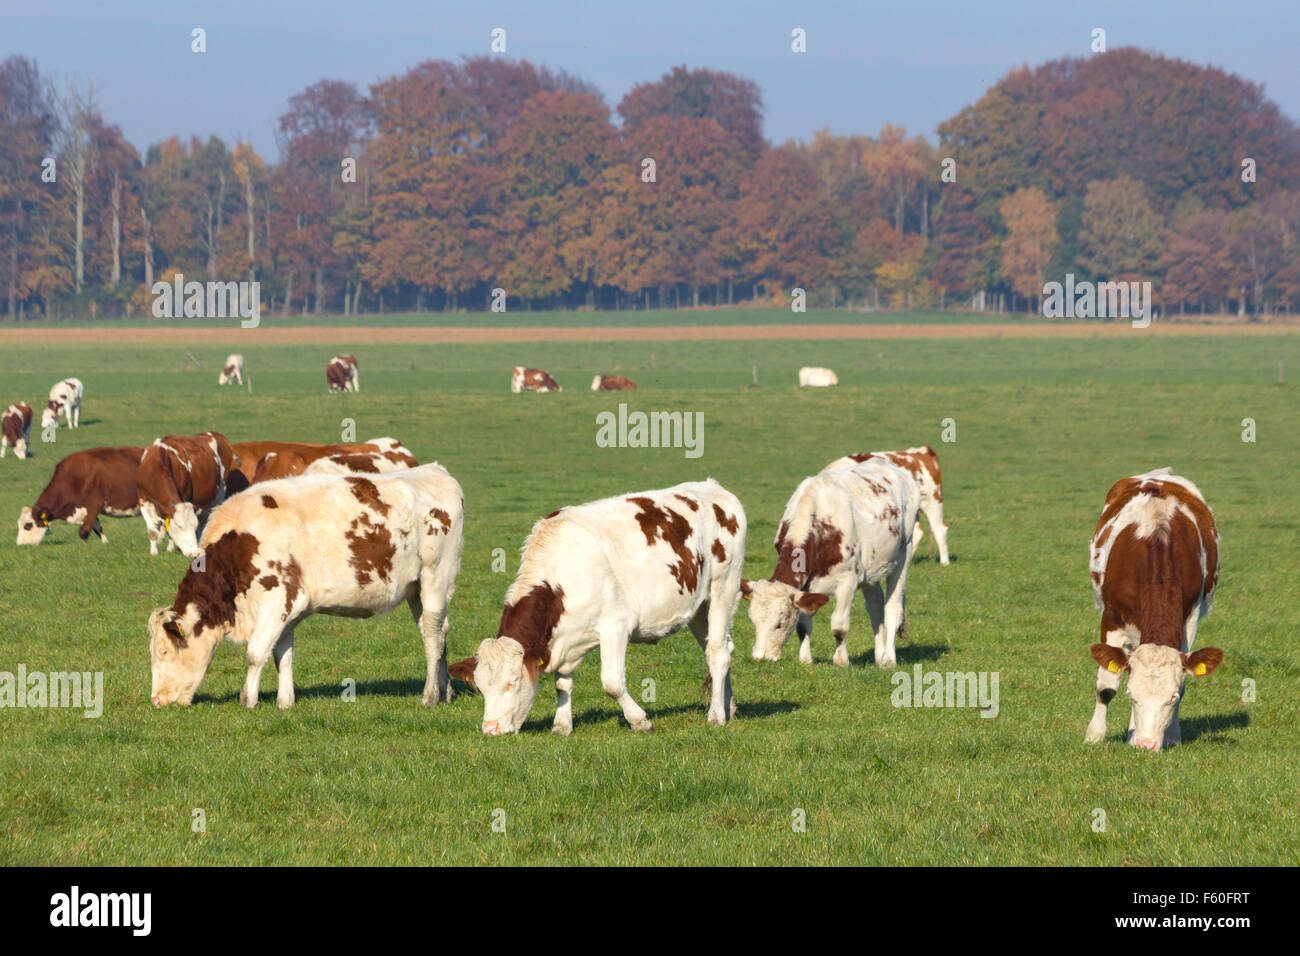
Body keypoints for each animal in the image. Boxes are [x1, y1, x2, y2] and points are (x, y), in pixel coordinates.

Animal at [15, 447, 143, 546]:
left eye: (27, 525)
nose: (21, 545)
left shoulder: (94, 505)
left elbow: (84, 532)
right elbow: (98, 529)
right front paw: (105, 544)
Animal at [149, 463, 465, 712]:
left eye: (163, 652)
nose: (156, 700)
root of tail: (435, 471)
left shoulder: (276, 599)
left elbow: (256, 653)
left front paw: (247, 700)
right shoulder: (289, 605)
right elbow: (282, 655)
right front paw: (285, 701)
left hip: (436, 577)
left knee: (433, 635)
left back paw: (429, 696)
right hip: (415, 589)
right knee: (437, 632)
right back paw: (445, 691)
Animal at [449, 481, 748, 738]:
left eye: (512, 682)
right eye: (480, 687)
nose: (490, 729)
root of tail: (714, 488)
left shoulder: (616, 626)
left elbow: (612, 683)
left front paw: (640, 721)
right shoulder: (563, 639)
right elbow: (562, 682)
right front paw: (561, 725)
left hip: (724, 587)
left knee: (718, 653)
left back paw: (716, 716)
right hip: (699, 607)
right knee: (719, 648)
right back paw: (729, 707)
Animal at [743, 460, 925, 671]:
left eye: (780, 623)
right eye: (753, 621)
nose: (760, 658)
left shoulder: (848, 580)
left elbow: (839, 626)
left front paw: (841, 661)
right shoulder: (807, 586)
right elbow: (803, 626)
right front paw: (805, 659)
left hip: (905, 551)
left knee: (892, 607)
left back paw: (889, 659)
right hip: (872, 570)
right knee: (876, 608)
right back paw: (879, 657)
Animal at [1086, 468, 1227, 749]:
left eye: (1170, 698)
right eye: (1131, 695)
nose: (1146, 744)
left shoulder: (1189, 620)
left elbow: (1184, 683)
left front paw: (1171, 735)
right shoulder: (1111, 618)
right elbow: (1107, 685)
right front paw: (1095, 735)